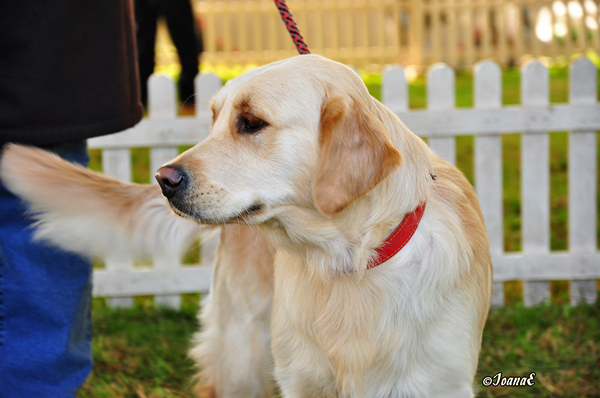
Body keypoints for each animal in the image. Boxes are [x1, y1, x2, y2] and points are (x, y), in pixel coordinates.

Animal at [1, 53, 492, 398]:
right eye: (214, 119)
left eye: (252, 122)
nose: (163, 180)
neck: (349, 263)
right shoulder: (302, 380)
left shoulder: (438, 380)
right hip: (243, 351)